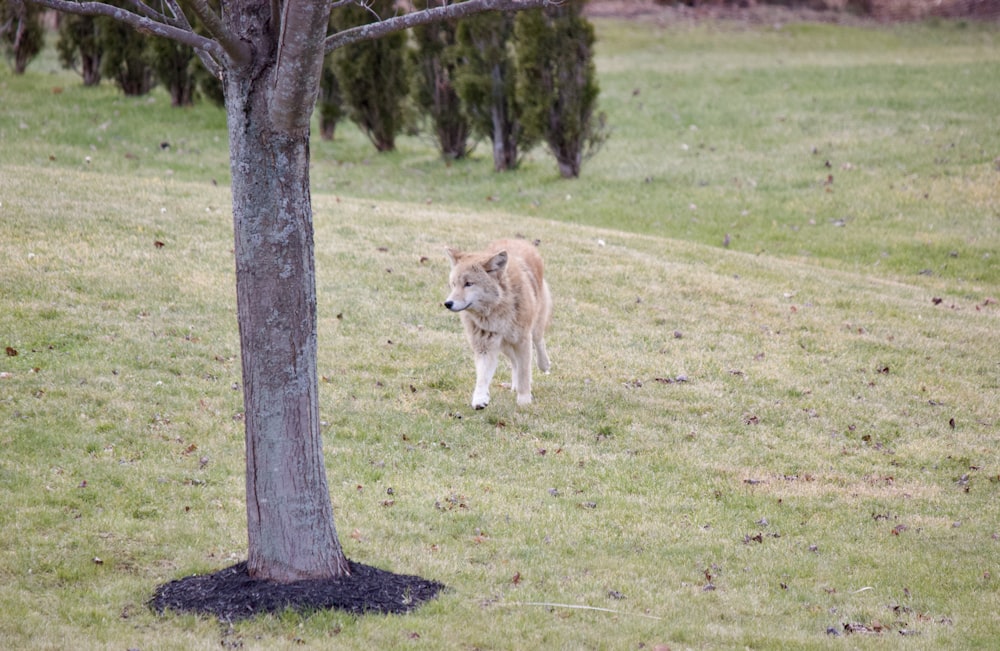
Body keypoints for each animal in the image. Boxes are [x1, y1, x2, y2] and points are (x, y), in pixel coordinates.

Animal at [446, 239, 556, 410]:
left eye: (468, 283)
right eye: (453, 284)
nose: (447, 303)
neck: (497, 309)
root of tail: (518, 240)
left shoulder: (522, 340)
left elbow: (525, 372)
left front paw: (524, 400)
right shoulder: (485, 346)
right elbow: (482, 377)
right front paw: (480, 399)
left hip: (533, 328)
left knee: (539, 342)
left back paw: (544, 365)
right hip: (505, 345)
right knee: (514, 362)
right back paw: (514, 385)